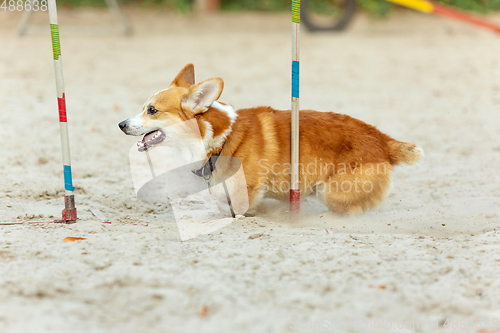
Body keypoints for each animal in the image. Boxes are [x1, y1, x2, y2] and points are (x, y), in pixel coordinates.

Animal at [119, 63, 424, 214]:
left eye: (152, 110)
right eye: (144, 106)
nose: (121, 124)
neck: (218, 138)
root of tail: (383, 140)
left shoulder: (246, 188)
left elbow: (236, 209)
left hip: (332, 191)